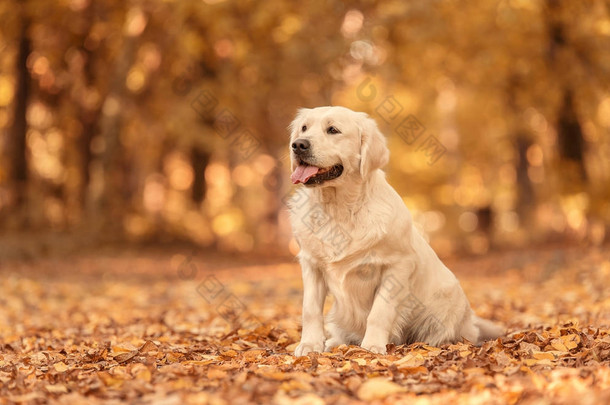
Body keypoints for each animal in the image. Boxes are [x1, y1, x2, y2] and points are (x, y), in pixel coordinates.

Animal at [288, 106, 502, 354]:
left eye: (333, 130)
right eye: (304, 128)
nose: (298, 145)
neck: (338, 209)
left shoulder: (396, 265)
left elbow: (379, 312)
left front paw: (372, 345)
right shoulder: (311, 264)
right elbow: (310, 310)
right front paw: (309, 344)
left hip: (446, 304)